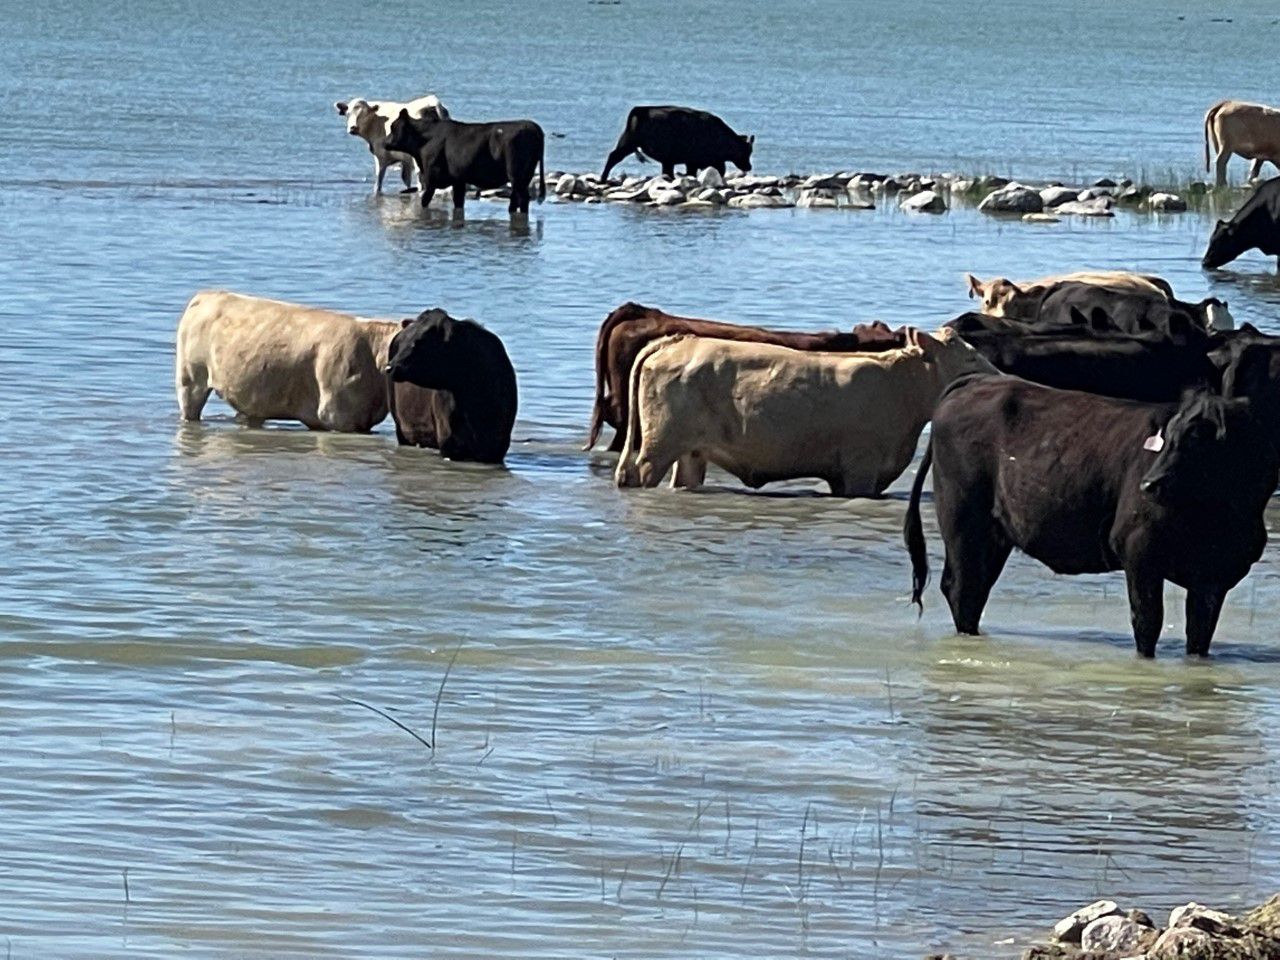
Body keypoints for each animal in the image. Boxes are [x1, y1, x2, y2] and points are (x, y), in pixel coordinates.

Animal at [381, 110, 546, 214]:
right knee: (516, 198)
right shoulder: (458, 180)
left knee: (522, 198)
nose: (384, 142)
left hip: (517, 174)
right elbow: (458, 201)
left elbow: (425, 200)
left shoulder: (431, 178)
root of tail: (532, 126)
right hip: (525, 176)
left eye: (393, 127)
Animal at [385, 309, 518, 465]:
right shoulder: (449, 442)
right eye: (404, 342)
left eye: (418, 342)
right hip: (401, 426)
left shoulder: (498, 447)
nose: (389, 367)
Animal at [601, 106, 754, 181]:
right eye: (745, 151)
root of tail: (640, 110)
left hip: (628, 143)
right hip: (629, 143)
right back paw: (602, 179)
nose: (749, 166)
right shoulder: (694, 162)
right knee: (613, 158)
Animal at [614, 327, 996, 496]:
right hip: (659, 445)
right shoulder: (860, 468)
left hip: (691, 451)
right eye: (970, 358)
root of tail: (680, 339)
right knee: (642, 473)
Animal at [904, 374, 1278, 658]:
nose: (1149, 484)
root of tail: (980, 381)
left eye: (1199, 440)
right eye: (1169, 438)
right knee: (961, 589)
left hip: (995, 535)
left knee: (975, 590)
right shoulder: (1138, 551)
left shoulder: (1216, 576)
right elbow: (1147, 622)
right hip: (963, 523)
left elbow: (1199, 635)